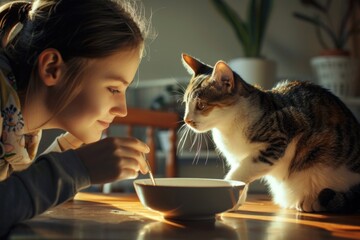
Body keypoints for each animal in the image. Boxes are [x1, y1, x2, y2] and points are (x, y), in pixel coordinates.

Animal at [181, 53, 360, 213]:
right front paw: (238, 201)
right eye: (185, 103)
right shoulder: (235, 158)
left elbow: (240, 173)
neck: (228, 126)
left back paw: (311, 201)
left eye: (201, 105)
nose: (186, 120)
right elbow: (241, 174)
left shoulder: (280, 137)